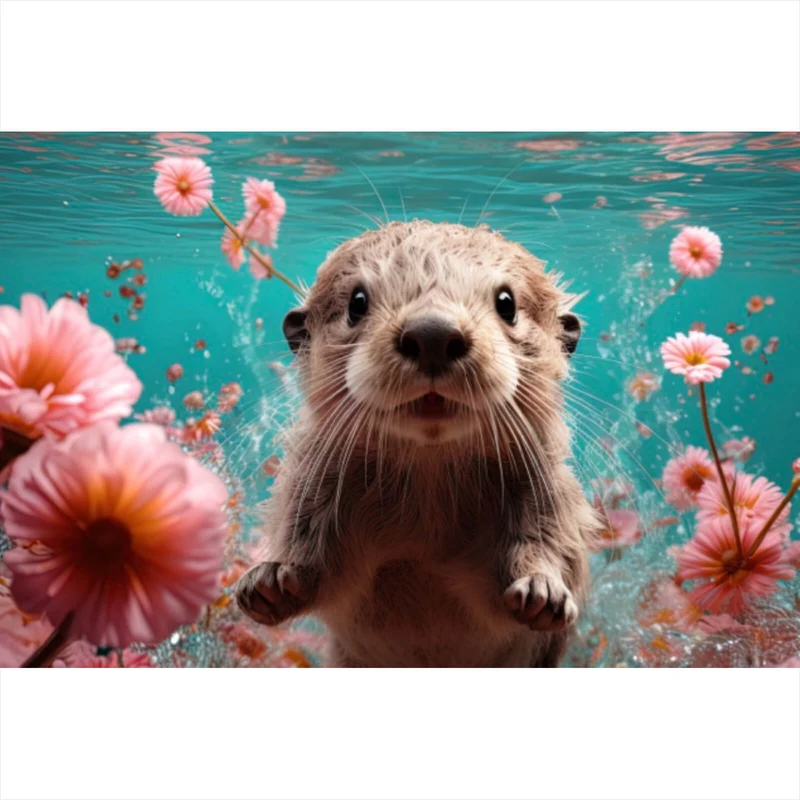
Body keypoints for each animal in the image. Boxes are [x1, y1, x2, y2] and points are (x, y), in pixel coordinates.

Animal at [236, 220, 598, 667]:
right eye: (357, 302)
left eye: (507, 303)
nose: (433, 334)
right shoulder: (310, 481)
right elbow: (312, 557)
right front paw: (271, 580)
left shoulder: (548, 487)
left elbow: (550, 540)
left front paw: (541, 588)